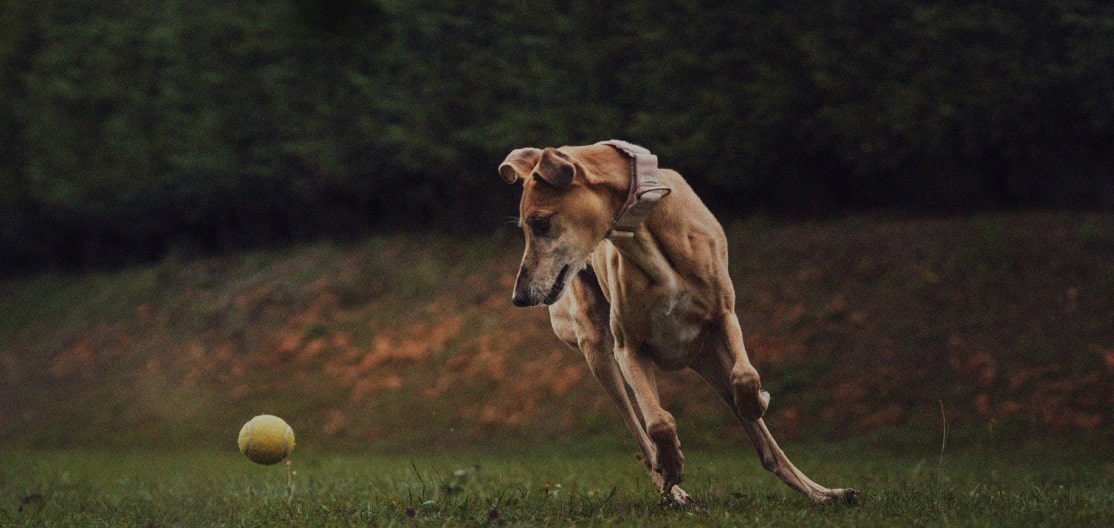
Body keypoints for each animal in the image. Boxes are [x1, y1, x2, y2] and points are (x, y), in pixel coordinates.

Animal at [501, 142, 855, 505]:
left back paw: (824, 493)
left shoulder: (724, 316)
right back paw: (673, 487)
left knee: (767, 449)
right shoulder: (629, 348)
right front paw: (671, 465)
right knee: (640, 431)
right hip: (599, 350)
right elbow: (659, 422)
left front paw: (758, 401)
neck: (647, 232)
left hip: (710, 356)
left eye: (540, 223)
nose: (519, 297)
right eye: (526, 227)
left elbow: (746, 376)